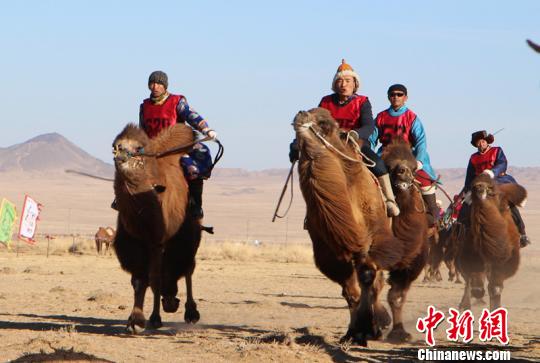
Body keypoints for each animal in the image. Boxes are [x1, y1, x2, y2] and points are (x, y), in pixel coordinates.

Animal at [112, 123, 202, 334]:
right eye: (116, 145)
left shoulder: (157, 241)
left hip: (188, 233)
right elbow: (139, 280)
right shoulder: (135, 243)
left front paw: (154, 318)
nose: (120, 155)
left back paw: (190, 312)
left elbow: (155, 278)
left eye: (138, 148)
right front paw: (135, 320)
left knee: (188, 268)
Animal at [294, 109, 408, 346]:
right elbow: (350, 291)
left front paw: (371, 328)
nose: (301, 115)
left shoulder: (373, 243)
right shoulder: (331, 254)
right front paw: (352, 333)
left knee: (376, 281)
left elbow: (368, 280)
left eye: (325, 123)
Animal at [458, 175, 524, 312]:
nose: (479, 188)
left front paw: (495, 310)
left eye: (491, 191)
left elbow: (495, 288)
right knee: (470, 283)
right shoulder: (471, 256)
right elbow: (476, 287)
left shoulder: (503, 262)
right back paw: (465, 305)